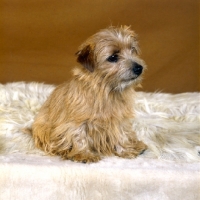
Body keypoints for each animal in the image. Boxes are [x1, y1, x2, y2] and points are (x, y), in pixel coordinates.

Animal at [31, 25, 147, 162]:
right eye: (113, 57)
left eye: (132, 50)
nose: (139, 68)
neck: (104, 91)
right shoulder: (76, 122)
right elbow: (79, 136)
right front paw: (84, 154)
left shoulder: (118, 120)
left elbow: (120, 135)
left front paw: (127, 150)